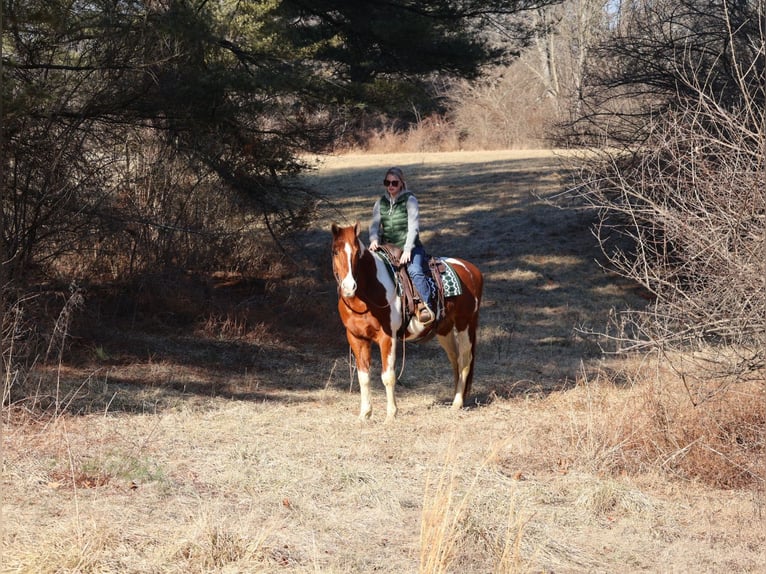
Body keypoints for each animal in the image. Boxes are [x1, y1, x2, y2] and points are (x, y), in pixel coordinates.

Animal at [332, 223, 486, 420]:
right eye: (335, 251)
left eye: (357, 252)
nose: (349, 287)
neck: (368, 293)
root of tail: (472, 270)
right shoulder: (356, 338)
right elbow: (363, 377)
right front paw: (364, 415)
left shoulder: (387, 338)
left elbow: (388, 376)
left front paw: (391, 415)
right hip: (444, 330)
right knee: (455, 359)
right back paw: (454, 398)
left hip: (465, 323)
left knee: (465, 360)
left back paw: (457, 403)